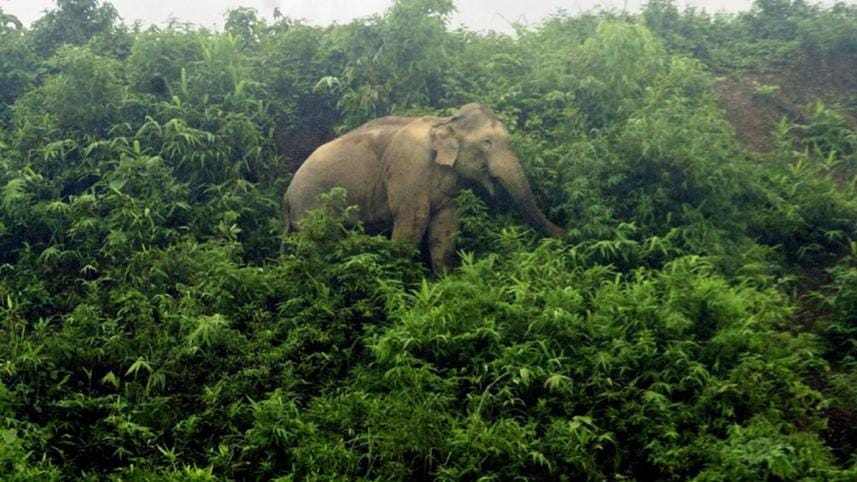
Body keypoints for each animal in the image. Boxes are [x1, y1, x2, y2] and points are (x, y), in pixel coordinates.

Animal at [282, 103, 564, 271]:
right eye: (487, 142)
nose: (567, 233)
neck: (445, 121)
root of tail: (286, 195)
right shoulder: (408, 166)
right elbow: (412, 223)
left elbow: (445, 228)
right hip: (312, 207)